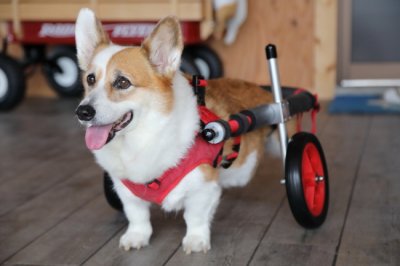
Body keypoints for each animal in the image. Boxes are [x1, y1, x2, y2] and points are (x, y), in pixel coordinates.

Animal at [74, 8, 276, 254]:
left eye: (123, 82)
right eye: (90, 79)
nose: (82, 112)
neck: (142, 139)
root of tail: (263, 91)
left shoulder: (203, 187)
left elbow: (195, 217)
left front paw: (196, 240)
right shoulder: (125, 190)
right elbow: (137, 215)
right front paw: (136, 236)